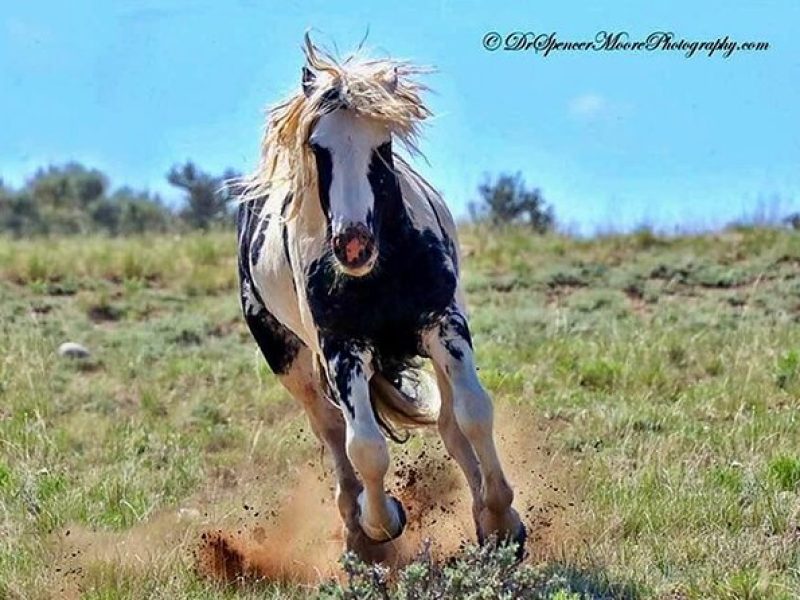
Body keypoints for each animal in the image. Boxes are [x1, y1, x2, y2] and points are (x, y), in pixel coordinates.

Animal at [238, 36, 524, 564]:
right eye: (318, 146)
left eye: (382, 143)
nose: (353, 244)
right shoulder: (340, 349)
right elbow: (365, 446)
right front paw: (382, 522)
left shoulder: (444, 324)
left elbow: (473, 414)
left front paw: (500, 522)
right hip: (289, 359)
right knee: (332, 431)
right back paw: (356, 532)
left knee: (449, 424)